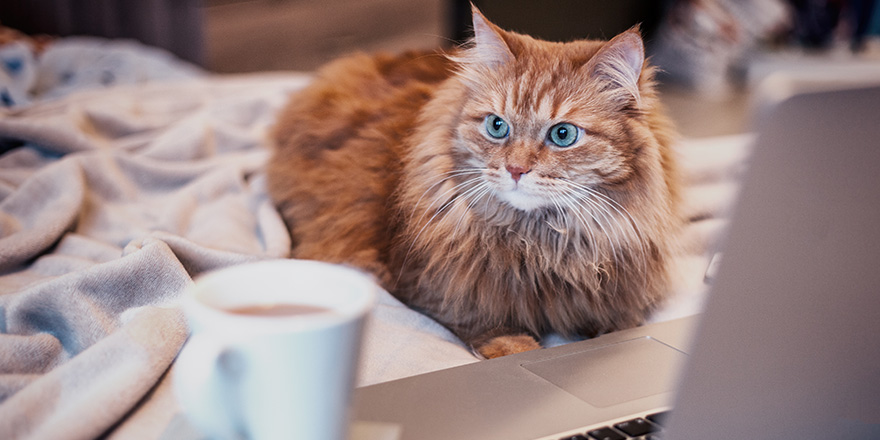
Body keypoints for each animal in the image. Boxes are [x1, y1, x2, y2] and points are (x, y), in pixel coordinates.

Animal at [266, 6, 680, 358]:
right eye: (497, 127)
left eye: (563, 135)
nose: (515, 169)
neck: (541, 245)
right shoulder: (430, 286)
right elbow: (495, 332)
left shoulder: (621, 302)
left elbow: (620, 326)